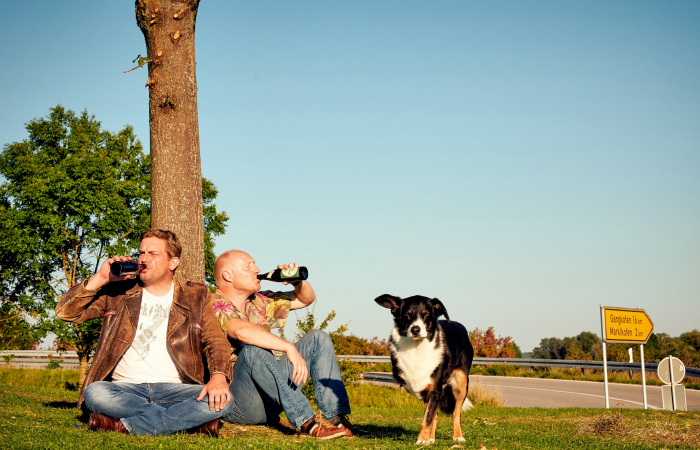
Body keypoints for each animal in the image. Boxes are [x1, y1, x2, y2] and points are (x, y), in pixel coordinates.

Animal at [374, 294, 474, 444]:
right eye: (407, 314)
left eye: (426, 314)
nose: (415, 329)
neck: (416, 348)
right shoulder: (425, 388)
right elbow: (430, 416)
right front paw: (426, 439)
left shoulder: (435, 389)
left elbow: (427, 418)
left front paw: (422, 440)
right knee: (436, 415)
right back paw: (431, 438)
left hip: (461, 381)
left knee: (455, 413)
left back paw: (458, 436)